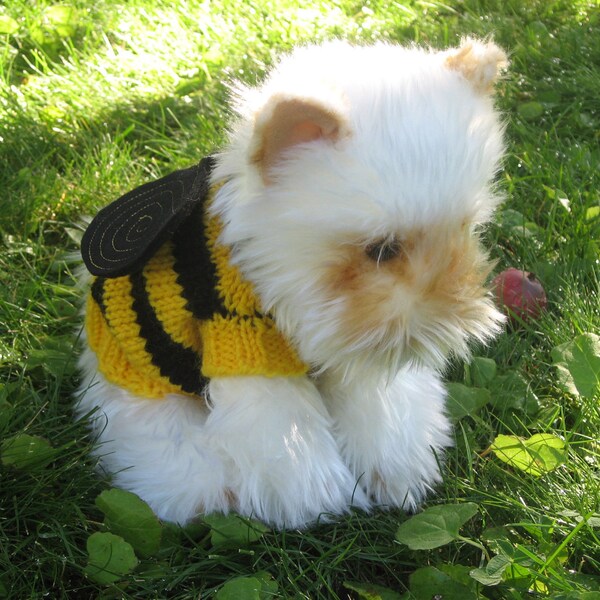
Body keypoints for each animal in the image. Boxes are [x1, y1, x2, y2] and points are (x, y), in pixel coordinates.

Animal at [75, 37, 506, 528]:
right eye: (381, 249)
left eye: (465, 229)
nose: (452, 319)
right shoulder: (243, 344)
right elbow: (283, 430)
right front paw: (316, 499)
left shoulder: (351, 348)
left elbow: (377, 409)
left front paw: (395, 473)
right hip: (139, 389)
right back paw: (207, 496)